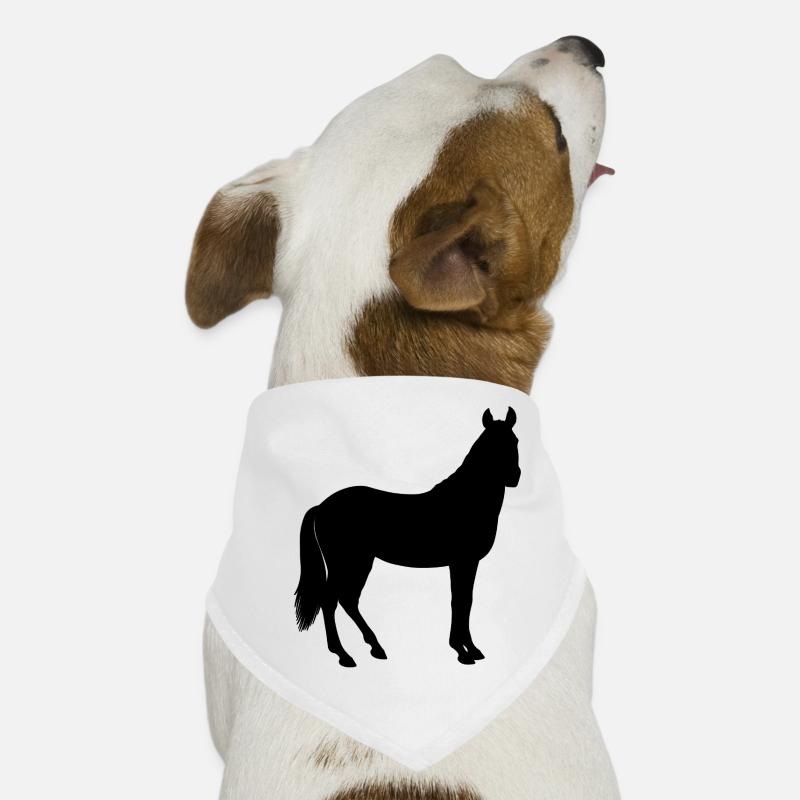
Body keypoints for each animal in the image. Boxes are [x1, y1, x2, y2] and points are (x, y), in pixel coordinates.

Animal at [294, 406, 520, 667]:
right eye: (489, 444)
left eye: (515, 440)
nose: (514, 477)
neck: (466, 501)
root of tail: (321, 506)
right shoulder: (463, 562)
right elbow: (460, 602)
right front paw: (463, 651)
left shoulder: (466, 563)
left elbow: (465, 601)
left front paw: (469, 649)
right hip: (345, 562)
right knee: (330, 600)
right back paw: (344, 655)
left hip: (361, 562)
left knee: (348, 600)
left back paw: (375, 648)